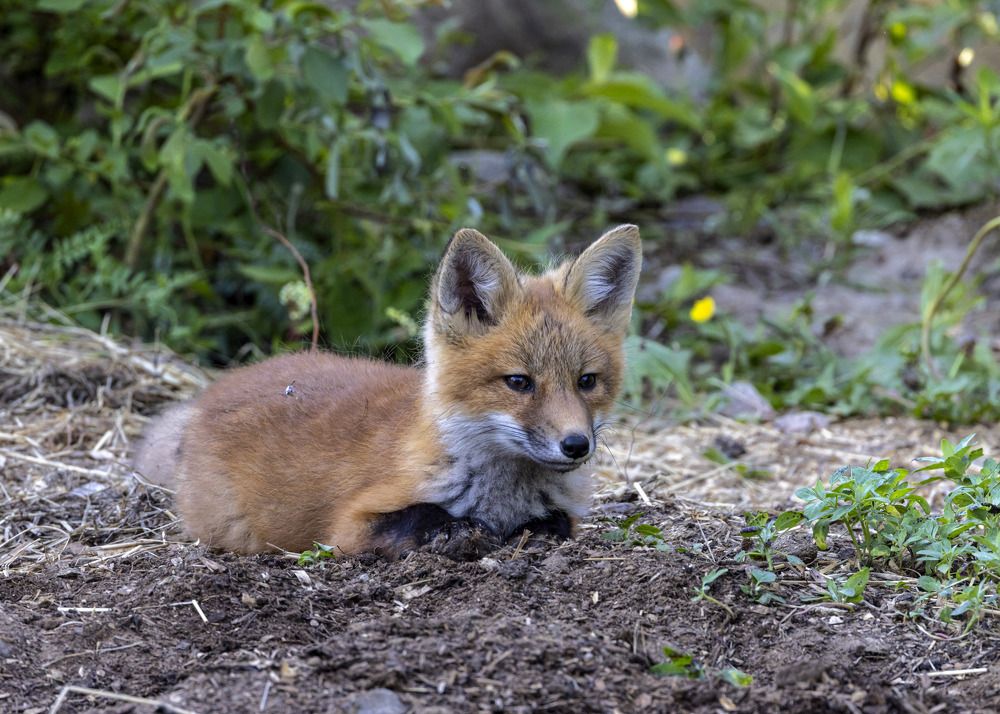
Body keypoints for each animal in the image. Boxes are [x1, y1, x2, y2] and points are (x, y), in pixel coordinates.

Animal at [133, 224, 642, 558]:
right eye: (519, 382)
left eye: (586, 381)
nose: (576, 444)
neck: (502, 492)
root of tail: (211, 395)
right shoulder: (347, 529)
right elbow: (425, 516)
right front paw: (465, 532)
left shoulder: (566, 514)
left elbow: (555, 522)